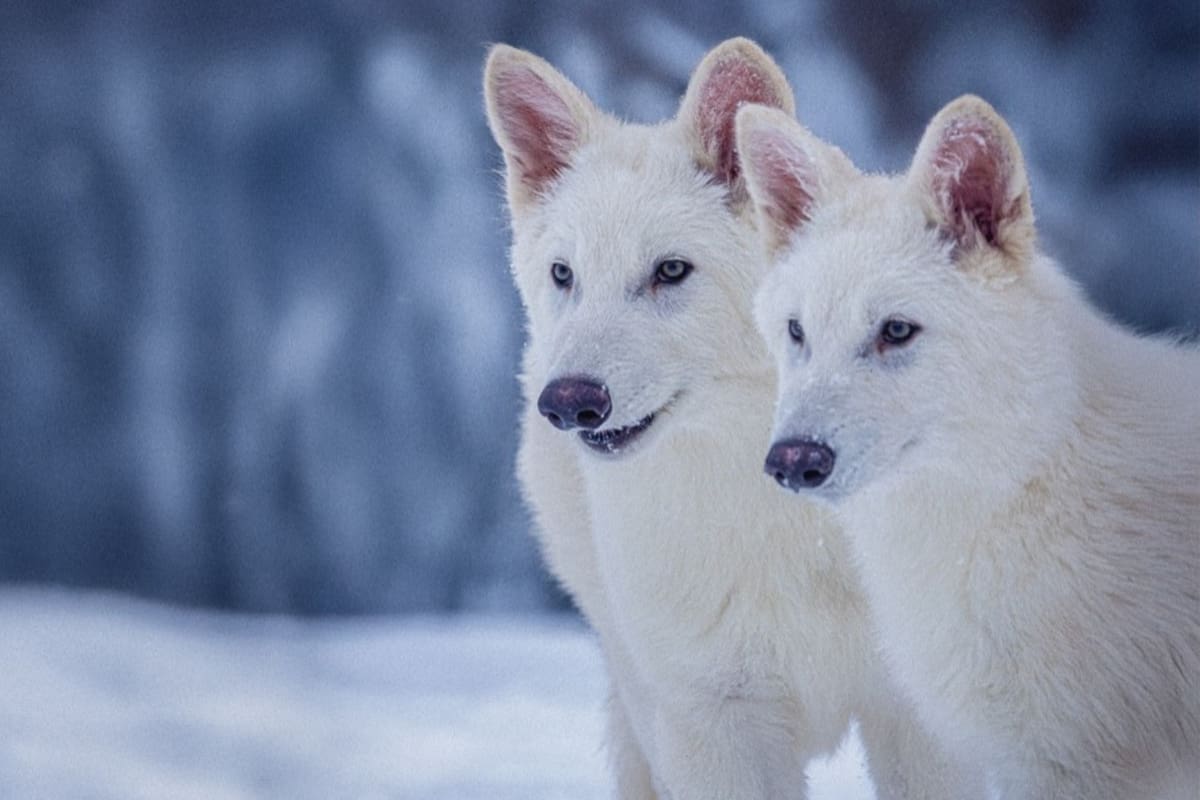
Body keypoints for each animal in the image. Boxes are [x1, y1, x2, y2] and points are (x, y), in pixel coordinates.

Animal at [484, 38, 980, 799]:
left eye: (670, 271)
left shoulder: (918, 721)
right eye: (565, 274)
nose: (567, 401)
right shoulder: (712, 725)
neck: (786, 522)